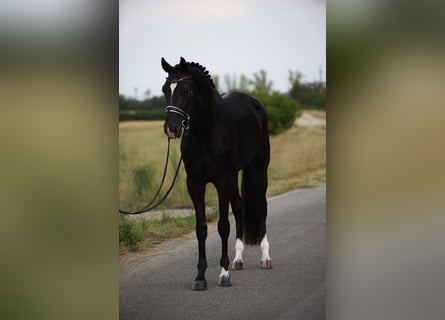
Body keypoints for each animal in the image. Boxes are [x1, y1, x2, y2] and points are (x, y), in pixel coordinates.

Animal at [160, 57, 270, 290]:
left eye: (186, 90)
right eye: (165, 89)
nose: (171, 129)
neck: (207, 131)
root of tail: (254, 102)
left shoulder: (222, 181)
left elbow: (222, 226)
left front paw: (224, 274)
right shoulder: (195, 183)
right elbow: (201, 228)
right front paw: (200, 277)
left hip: (258, 168)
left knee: (261, 206)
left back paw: (265, 257)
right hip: (235, 176)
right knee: (239, 207)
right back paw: (238, 260)